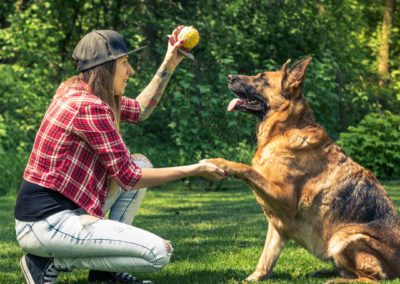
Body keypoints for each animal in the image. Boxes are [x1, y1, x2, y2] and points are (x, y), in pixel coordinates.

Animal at [205, 57, 400, 282]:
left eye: (261, 78)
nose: (229, 77)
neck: (285, 129)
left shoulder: (285, 198)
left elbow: (247, 169)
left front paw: (221, 162)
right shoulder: (277, 225)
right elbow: (265, 259)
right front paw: (254, 278)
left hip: (343, 237)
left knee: (372, 277)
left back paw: (337, 279)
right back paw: (325, 272)